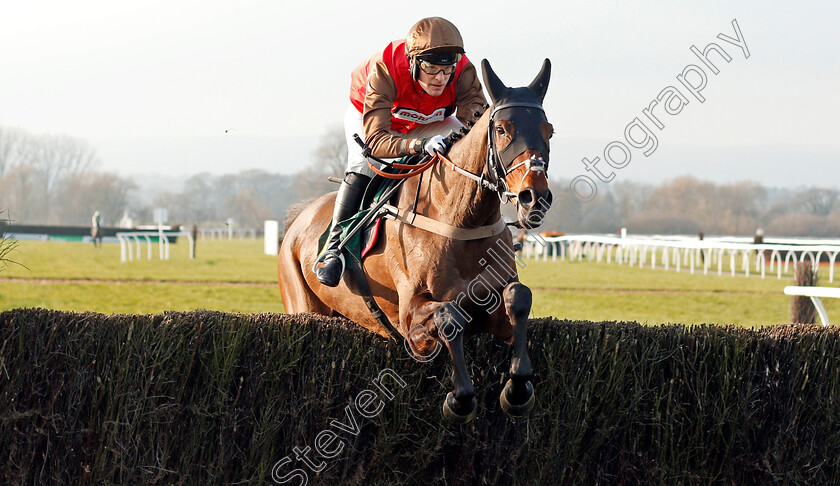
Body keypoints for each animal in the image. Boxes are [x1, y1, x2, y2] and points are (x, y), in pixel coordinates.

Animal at [278, 58, 556, 422]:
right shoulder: (411, 322)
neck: (461, 220)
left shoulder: (493, 309)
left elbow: (518, 297)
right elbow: (449, 315)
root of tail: (300, 217)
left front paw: (518, 389)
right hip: (303, 306)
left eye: (549, 130)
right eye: (502, 129)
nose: (533, 198)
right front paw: (460, 399)